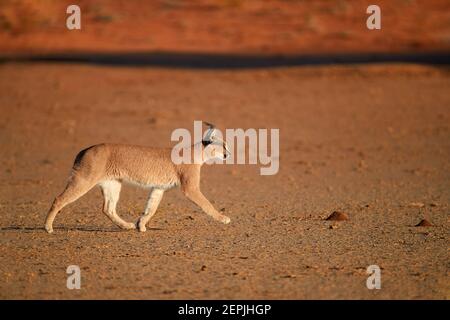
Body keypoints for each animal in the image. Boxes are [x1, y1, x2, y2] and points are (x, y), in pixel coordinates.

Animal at [44, 124, 232, 234]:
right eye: (223, 146)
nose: (228, 154)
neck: (198, 153)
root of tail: (85, 149)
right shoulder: (190, 188)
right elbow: (206, 204)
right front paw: (223, 218)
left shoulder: (158, 188)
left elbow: (151, 208)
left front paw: (140, 225)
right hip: (85, 179)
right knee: (59, 198)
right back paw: (48, 227)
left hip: (113, 184)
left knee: (108, 208)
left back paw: (126, 226)